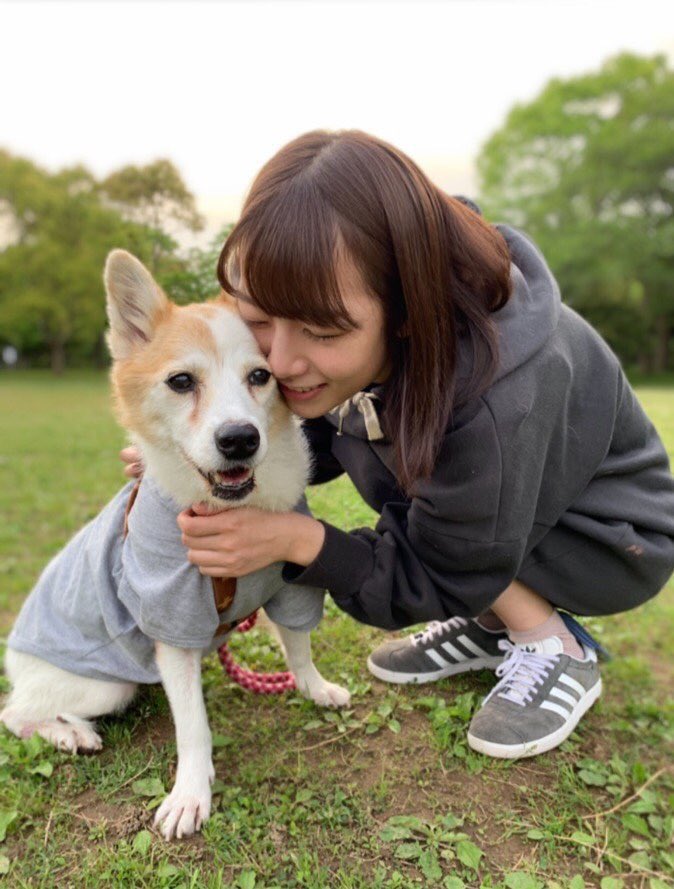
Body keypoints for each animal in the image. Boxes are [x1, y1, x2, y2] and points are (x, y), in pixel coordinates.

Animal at [0, 250, 346, 840]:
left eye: (261, 376)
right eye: (182, 381)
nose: (240, 439)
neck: (228, 509)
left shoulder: (289, 581)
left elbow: (298, 645)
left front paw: (313, 687)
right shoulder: (172, 621)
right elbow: (193, 726)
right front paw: (190, 794)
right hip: (103, 685)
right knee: (15, 711)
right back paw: (69, 733)